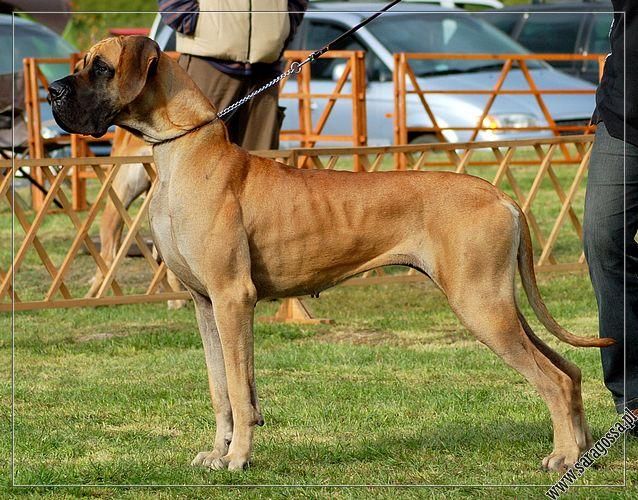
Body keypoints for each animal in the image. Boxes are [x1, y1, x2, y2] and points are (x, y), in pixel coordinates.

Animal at [48, 36, 613, 473]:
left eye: (100, 67)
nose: (53, 90)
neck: (185, 153)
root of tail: (502, 196)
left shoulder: (233, 299)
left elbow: (239, 389)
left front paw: (238, 459)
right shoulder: (205, 304)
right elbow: (220, 389)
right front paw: (218, 452)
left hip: (481, 305)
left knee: (552, 380)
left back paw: (563, 457)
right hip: (498, 304)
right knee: (568, 370)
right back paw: (582, 451)